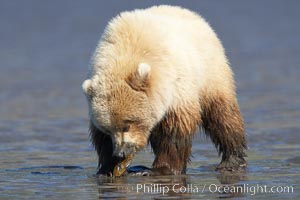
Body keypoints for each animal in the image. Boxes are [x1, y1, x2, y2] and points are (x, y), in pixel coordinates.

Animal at [82, 5, 246, 176]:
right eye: (107, 128)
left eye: (128, 124)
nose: (121, 152)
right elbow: (101, 140)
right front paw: (109, 167)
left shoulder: (176, 88)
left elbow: (174, 132)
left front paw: (159, 169)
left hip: (210, 73)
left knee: (223, 115)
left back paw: (231, 161)